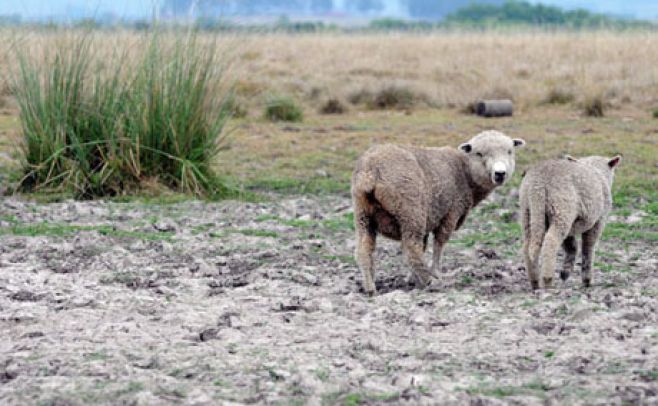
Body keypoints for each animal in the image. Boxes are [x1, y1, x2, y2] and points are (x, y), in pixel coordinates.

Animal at [352, 130, 524, 294]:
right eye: (479, 153)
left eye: (510, 151)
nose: (500, 173)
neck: (466, 173)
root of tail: (371, 171)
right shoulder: (450, 214)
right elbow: (439, 244)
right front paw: (435, 273)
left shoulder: (429, 218)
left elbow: (424, 246)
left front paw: (410, 278)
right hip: (410, 211)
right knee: (411, 248)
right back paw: (429, 281)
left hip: (364, 214)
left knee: (364, 249)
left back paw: (370, 287)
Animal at [516, 154, 620, 290]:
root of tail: (538, 184)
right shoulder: (599, 220)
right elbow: (588, 247)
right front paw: (587, 280)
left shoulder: (572, 226)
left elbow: (572, 246)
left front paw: (565, 272)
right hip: (562, 209)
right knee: (551, 241)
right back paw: (548, 280)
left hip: (528, 211)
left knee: (528, 245)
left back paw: (535, 282)